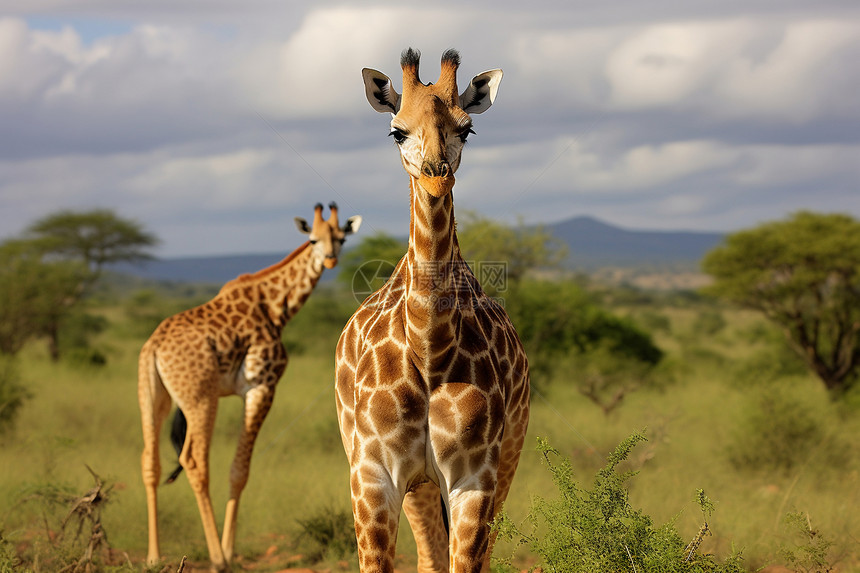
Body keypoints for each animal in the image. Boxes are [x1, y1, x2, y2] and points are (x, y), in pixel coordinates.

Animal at [139, 203, 362, 568]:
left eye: (341, 238)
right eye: (313, 239)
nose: (330, 259)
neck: (274, 306)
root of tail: (154, 347)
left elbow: (236, 467)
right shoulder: (262, 385)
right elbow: (239, 469)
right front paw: (228, 551)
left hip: (153, 397)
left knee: (150, 460)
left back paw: (154, 557)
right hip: (200, 399)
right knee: (195, 462)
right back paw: (217, 558)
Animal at [336, 49, 532, 572]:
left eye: (467, 128)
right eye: (396, 131)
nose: (436, 175)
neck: (429, 344)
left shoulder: (474, 478)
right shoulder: (373, 474)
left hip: (506, 461)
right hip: (414, 481)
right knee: (428, 554)